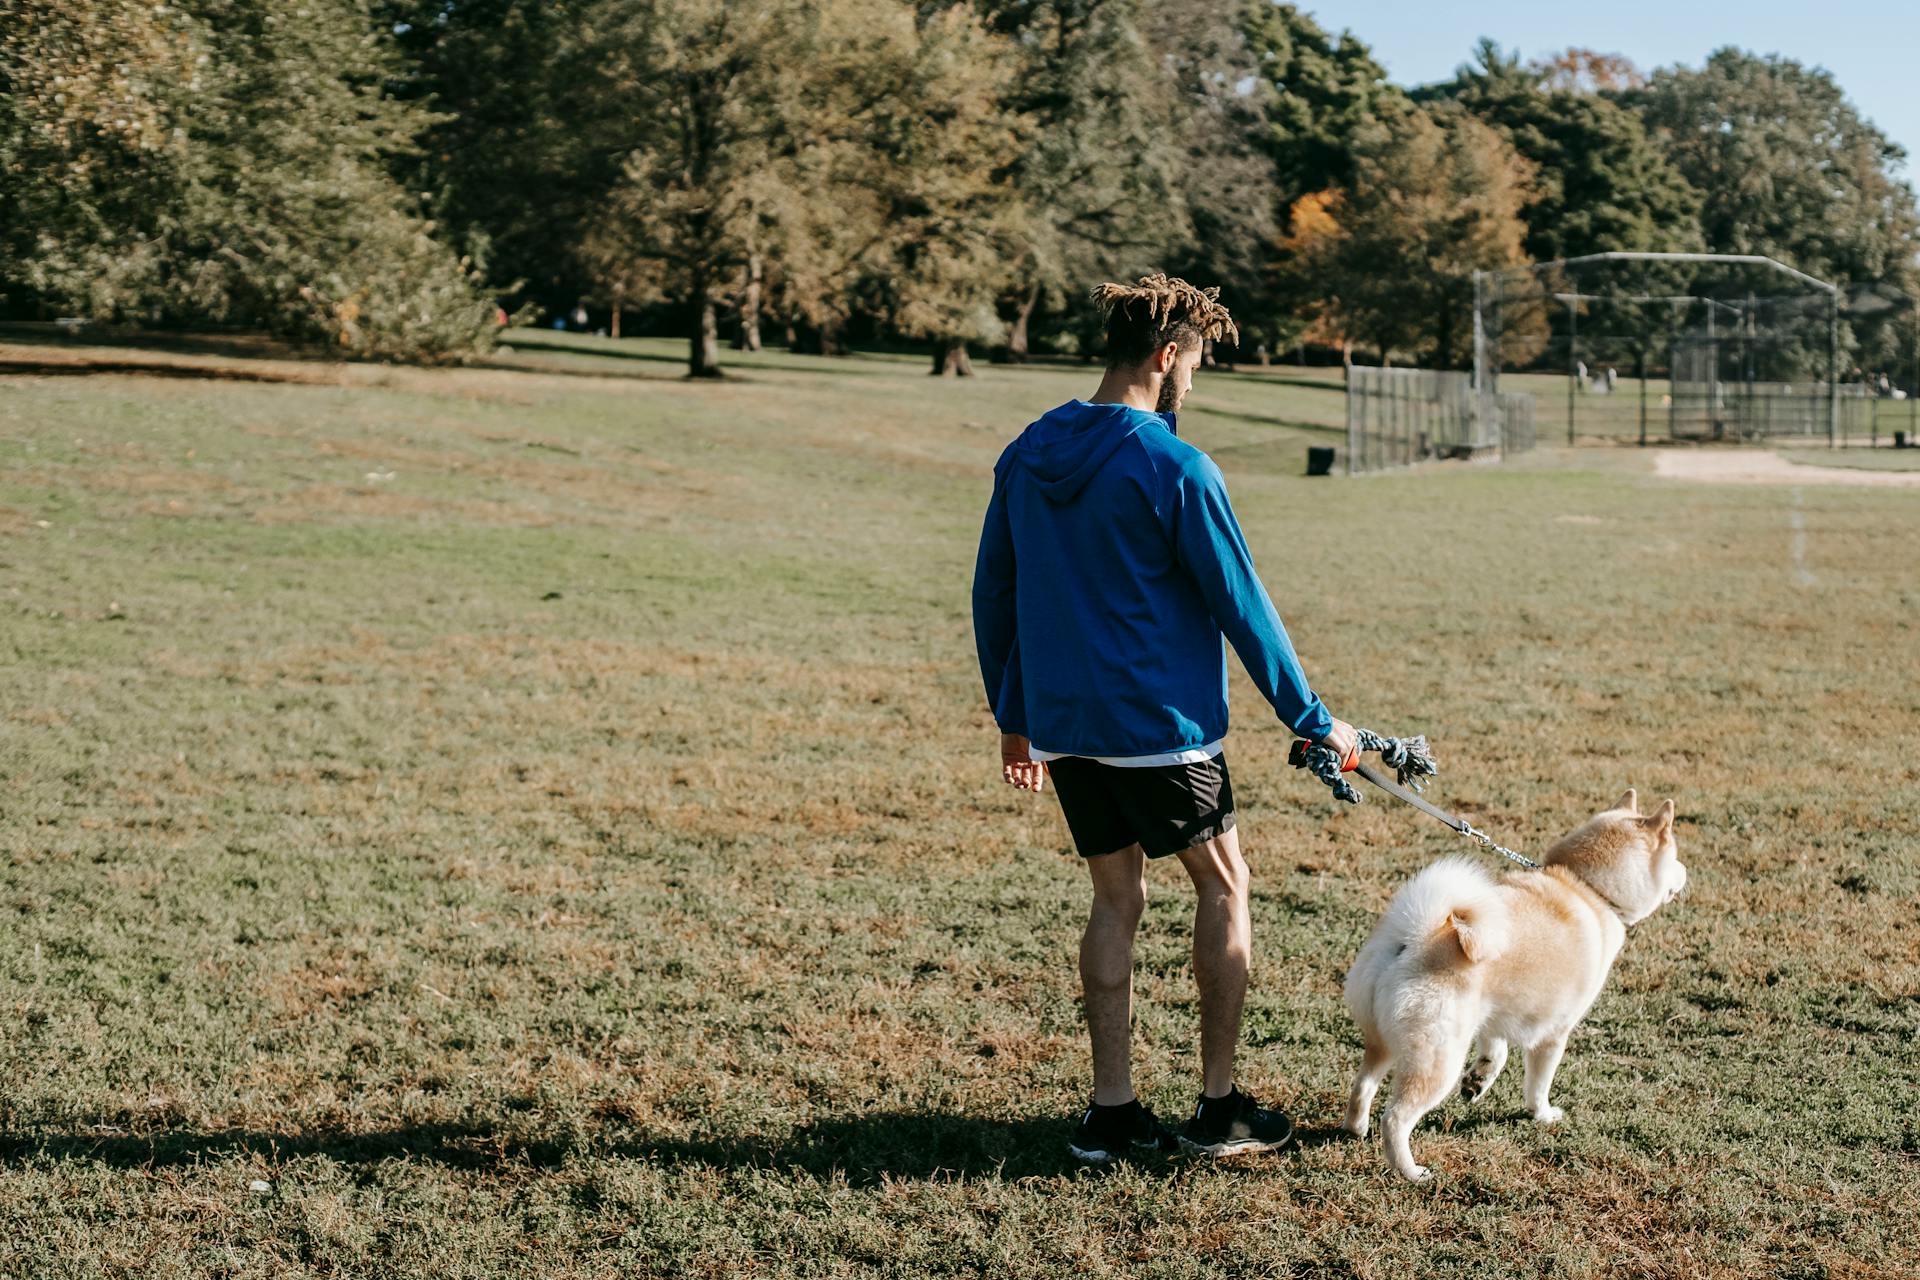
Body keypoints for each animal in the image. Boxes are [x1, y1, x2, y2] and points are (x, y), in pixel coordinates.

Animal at [1344, 790, 1689, 1182]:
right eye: (1675, 855)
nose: (1686, 872)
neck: (1588, 888)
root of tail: (1414, 937)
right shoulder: (1553, 1033)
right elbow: (1538, 1084)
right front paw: (1543, 1115)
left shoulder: (1494, 1012)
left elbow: (1497, 1052)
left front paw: (1478, 1081)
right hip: (1437, 1059)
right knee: (1396, 1118)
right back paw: (1410, 1171)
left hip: (1382, 1041)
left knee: (1362, 1086)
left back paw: (1356, 1128)